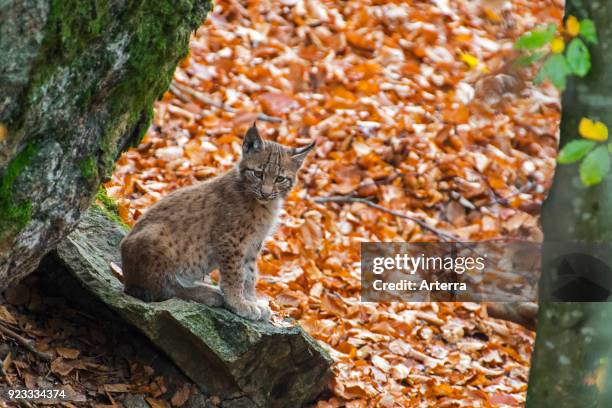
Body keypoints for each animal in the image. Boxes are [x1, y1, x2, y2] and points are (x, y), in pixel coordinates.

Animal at [122, 122, 318, 320]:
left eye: (280, 179)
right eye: (258, 173)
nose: (266, 193)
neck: (265, 204)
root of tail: (126, 274)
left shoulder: (254, 242)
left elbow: (250, 274)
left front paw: (251, 300)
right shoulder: (230, 239)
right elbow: (236, 274)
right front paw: (238, 303)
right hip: (157, 236)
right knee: (161, 291)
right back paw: (207, 294)